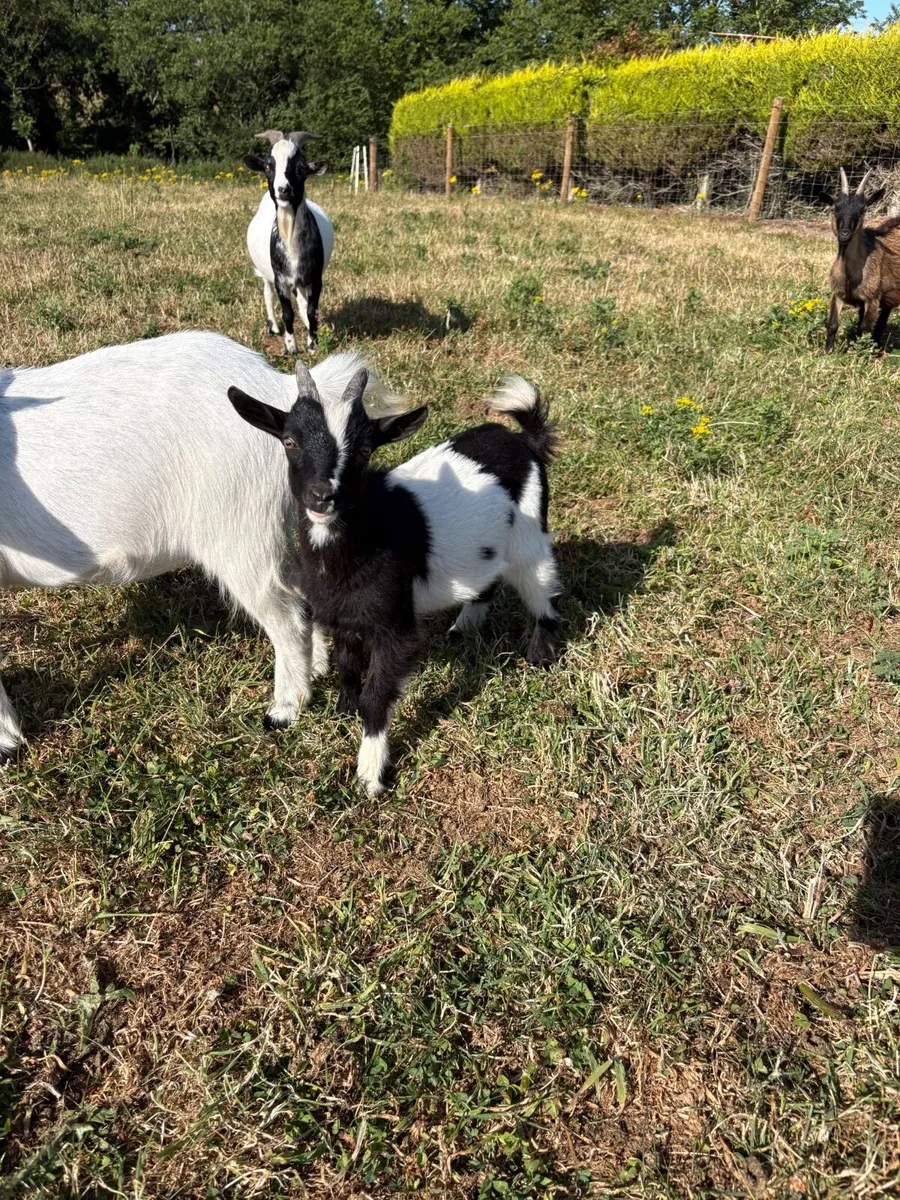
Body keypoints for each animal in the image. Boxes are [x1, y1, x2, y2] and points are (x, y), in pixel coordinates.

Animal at [0, 331, 397, 761]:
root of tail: (275, 389)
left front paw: (6, 741)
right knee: (300, 590)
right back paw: (318, 665)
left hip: (238, 528)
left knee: (287, 615)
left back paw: (285, 707)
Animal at [229, 364, 562, 797]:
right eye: (289, 441)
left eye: (364, 451)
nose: (323, 496)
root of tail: (525, 441)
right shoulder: (341, 615)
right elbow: (347, 663)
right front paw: (343, 710)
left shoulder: (395, 626)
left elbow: (378, 694)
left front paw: (370, 775)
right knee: (487, 579)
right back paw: (464, 628)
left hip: (529, 535)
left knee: (542, 589)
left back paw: (540, 656)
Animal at [244, 130, 334, 355]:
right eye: (268, 166)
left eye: (301, 168)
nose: (283, 190)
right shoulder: (281, 280)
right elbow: (287, 313)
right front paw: (291, 346)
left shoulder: (315, 278)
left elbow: (311, 310)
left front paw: (312, 343)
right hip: (267, 274)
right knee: (267, 293)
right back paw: (274, 327)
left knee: (302, 302)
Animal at [826, 167, 900, 351]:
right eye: (835, 209)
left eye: (862, 210)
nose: (844, 234)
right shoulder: (838, 293)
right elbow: (833, 325)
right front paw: (828, 351)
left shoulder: (872, 299)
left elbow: (863, 330)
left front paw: (857, 354)